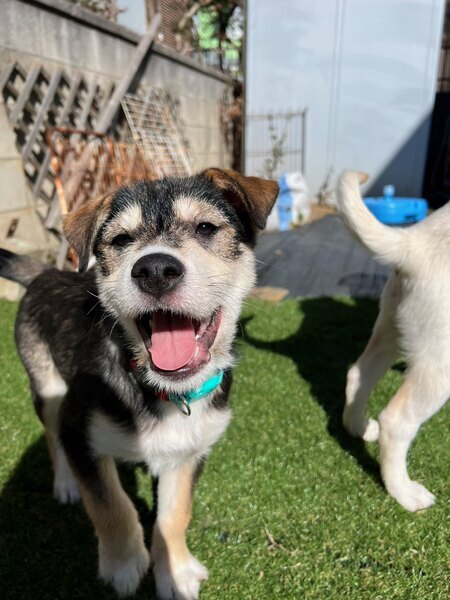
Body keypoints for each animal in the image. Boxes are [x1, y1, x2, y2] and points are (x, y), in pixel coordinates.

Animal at [0, 168, 278, 598]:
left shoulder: (190, 450)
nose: (155, 269)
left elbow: (175, 514)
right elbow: (111, 505)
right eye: (121, 240)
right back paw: (65, 484)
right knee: (50, 434)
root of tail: (47, 271)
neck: (164, 391)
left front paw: (175, 572)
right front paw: (125, 564)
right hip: (47, 386)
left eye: (205, 227)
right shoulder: (79, 431)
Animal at [337, 170, 450, 512]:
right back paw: (403, 492)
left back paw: (358, 427)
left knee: (358, 374)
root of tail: (415, 244)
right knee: (396, 422)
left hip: (391, 327)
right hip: (440, 361)